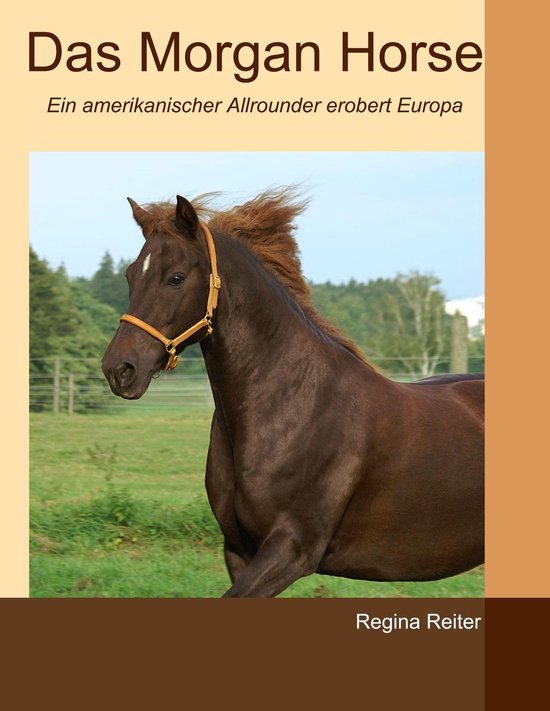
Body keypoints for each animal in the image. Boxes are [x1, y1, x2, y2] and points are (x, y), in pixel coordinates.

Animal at [102, 189, 484, 598]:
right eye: (130, 275)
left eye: (175, 278)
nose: (119, 369)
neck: (294, 406)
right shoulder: (239, 551)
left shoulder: (292, 549)